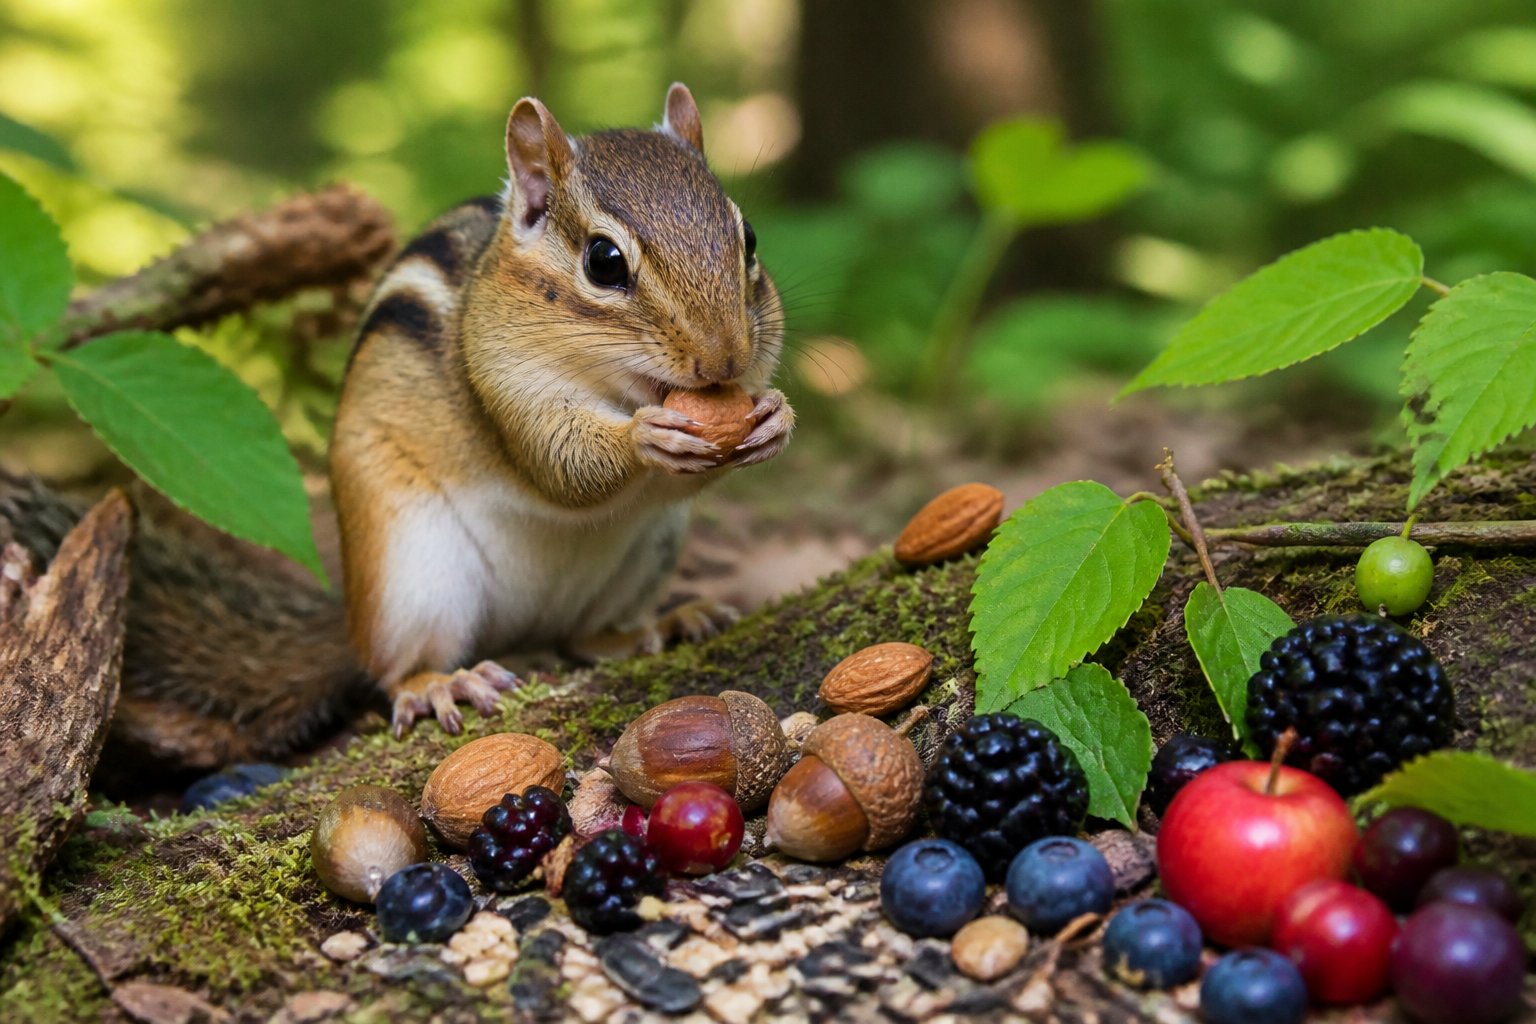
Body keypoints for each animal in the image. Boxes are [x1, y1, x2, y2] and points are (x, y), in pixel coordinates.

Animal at [0, 83, 792, 775]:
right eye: (604, 261)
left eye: (749, 238)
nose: (724, 358)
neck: (618, 387)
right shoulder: (502, 381)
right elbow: (560, 465)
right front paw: (644, 438)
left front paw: (775, 418)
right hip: (412, 570)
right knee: (394, 672)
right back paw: (442, 682)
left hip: (647, 554)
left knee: (584, 638)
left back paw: (659, 625)